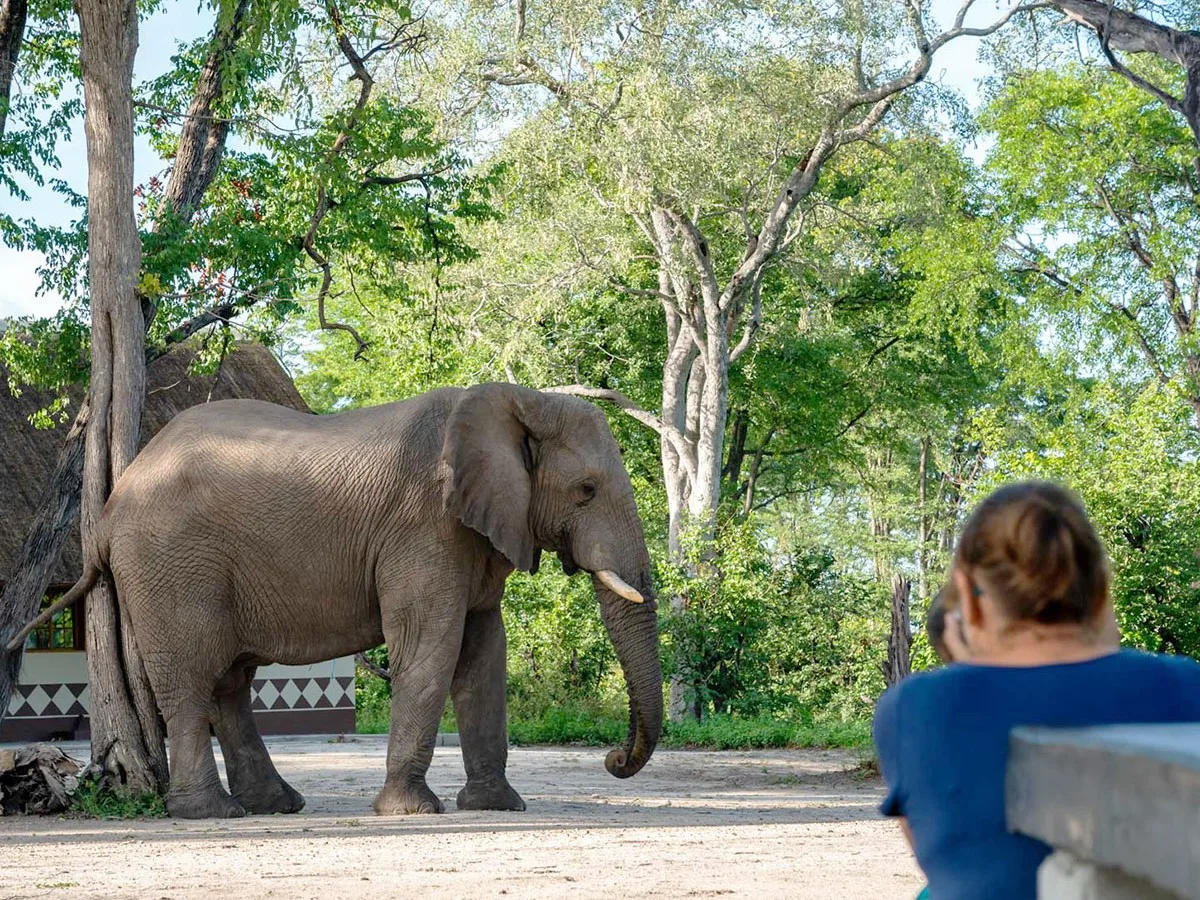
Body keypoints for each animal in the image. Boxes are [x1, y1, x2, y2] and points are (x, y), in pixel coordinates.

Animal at [15, 383, 663, 818]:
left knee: (229, 682)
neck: (519, 402)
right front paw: (412, 812)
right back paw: (211, 813)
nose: (612, 759)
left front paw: (497, 807)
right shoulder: (423, 529)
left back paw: (277, 805)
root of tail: (106, 512)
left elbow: (484, 657)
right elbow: (429, 650)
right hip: (168, 566)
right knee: (192, 679)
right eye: (586, 491)